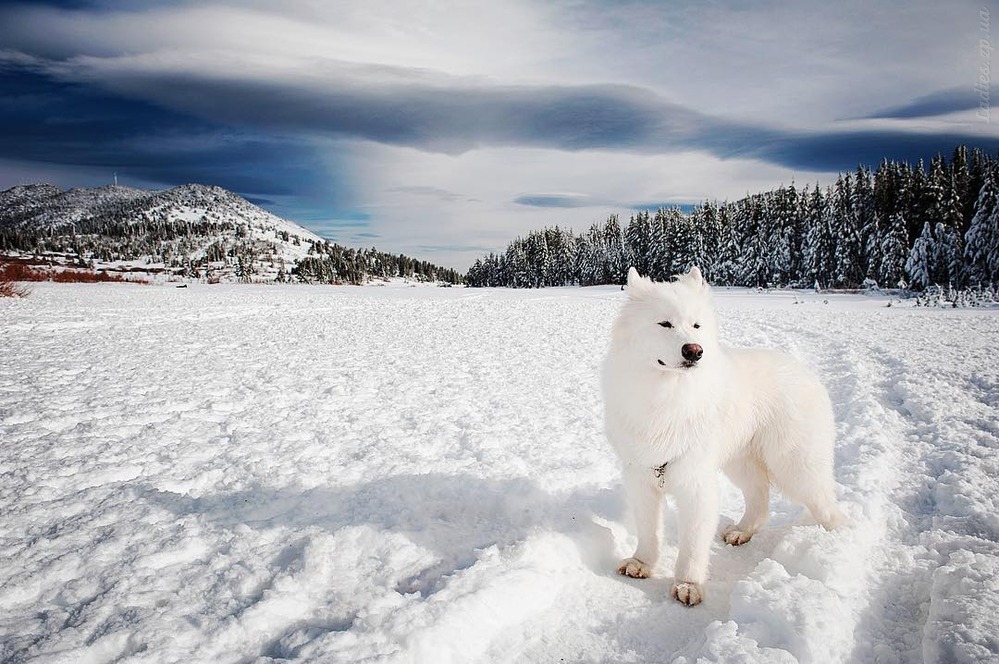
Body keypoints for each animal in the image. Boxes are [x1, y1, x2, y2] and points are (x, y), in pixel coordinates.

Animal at [600, 266, 844, 608]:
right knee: (760, 500)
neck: (667, 395)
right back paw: (741, 532)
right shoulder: (642, 477)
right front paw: (642, 563)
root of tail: (805, 372)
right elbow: (649, 531)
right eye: (665, 324)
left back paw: (840, 539)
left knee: (826, 504)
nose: (694, 350)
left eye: (696, 325)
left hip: (795, 465)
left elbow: (692, 545)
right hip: (741, 463)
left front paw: (688, 585)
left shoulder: (696, 483)